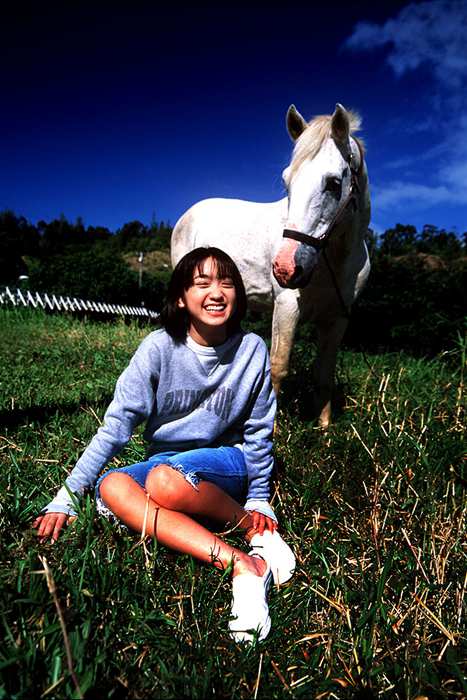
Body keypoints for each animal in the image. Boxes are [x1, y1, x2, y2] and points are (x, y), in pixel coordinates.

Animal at [172, 104, 372, 426]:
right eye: (287, 182)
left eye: (333, 183)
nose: (286, 268)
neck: (336, 260)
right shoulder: (287, 306)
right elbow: (278, 368)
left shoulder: (337, 318)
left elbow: (324, 374)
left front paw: (324, 428)